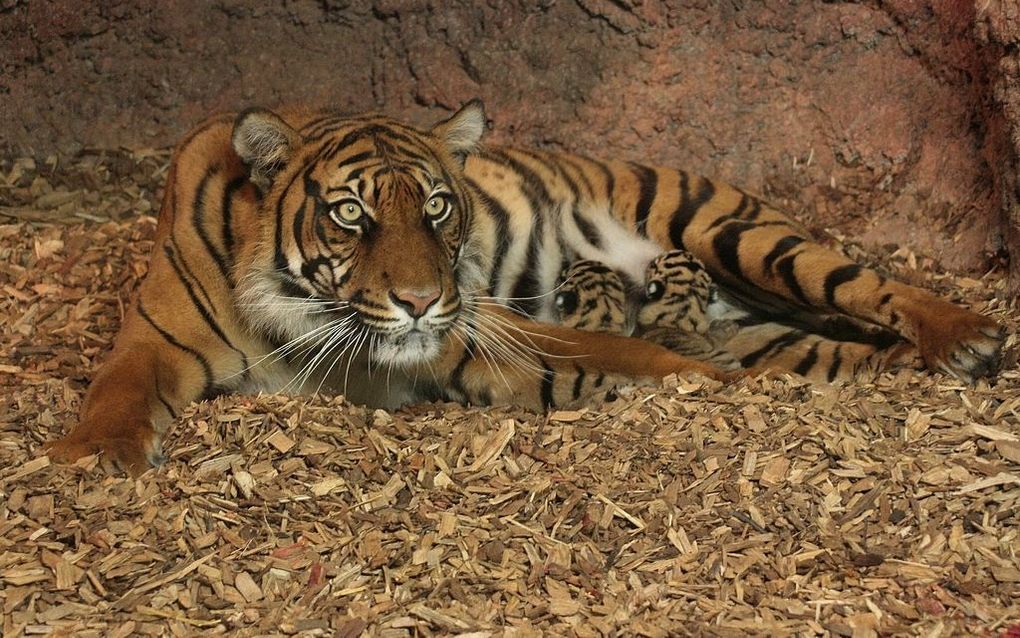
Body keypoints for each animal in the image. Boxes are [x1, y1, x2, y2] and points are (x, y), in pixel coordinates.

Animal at [45, 100, 1003, 473]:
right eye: (352, 214)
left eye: (437, 206)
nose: (421, 301)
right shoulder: (151, 339)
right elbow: (115, 391)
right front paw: (94, 457)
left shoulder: (480, 332)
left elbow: (617, 347)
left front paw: (700, 385)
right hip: (770, 326)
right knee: (850, 353)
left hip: (735, 230)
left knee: (872, 285)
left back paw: (970, 337)